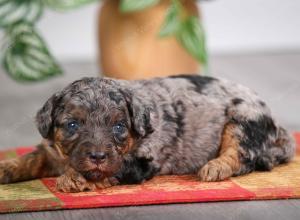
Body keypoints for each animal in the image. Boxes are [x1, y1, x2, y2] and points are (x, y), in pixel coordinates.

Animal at [0, 75, 296, 192]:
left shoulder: (142, 160)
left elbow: (112, 169)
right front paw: (5, 167)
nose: (97, 156)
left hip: (242, 120)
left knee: (243, 156)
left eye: (119, 127)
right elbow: (30, 159)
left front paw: (75, 178)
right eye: (73, 125)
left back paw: (216, 167)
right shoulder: (50, 150)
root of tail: (276, 124)